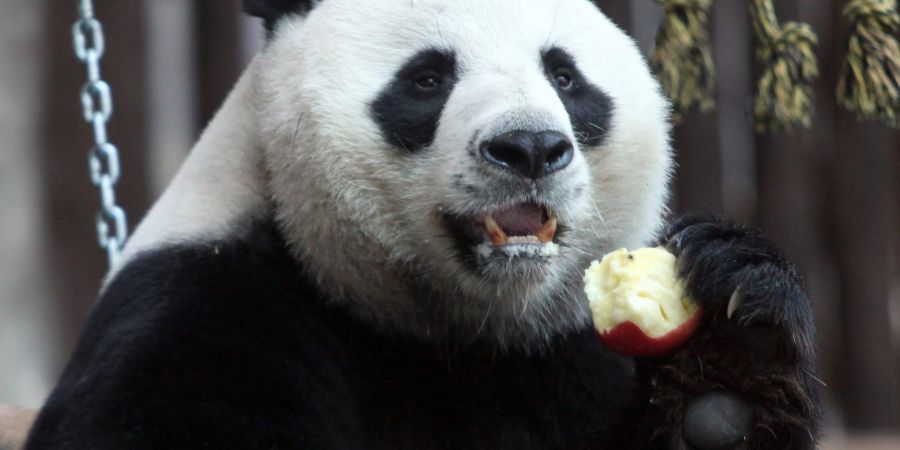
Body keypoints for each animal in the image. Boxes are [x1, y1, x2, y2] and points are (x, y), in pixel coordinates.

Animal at [22, 0, 824, 450]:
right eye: (429, 77)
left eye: (565, 76)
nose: (529, 147)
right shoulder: (202, 306)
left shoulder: (565, 357)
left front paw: (727, 365)